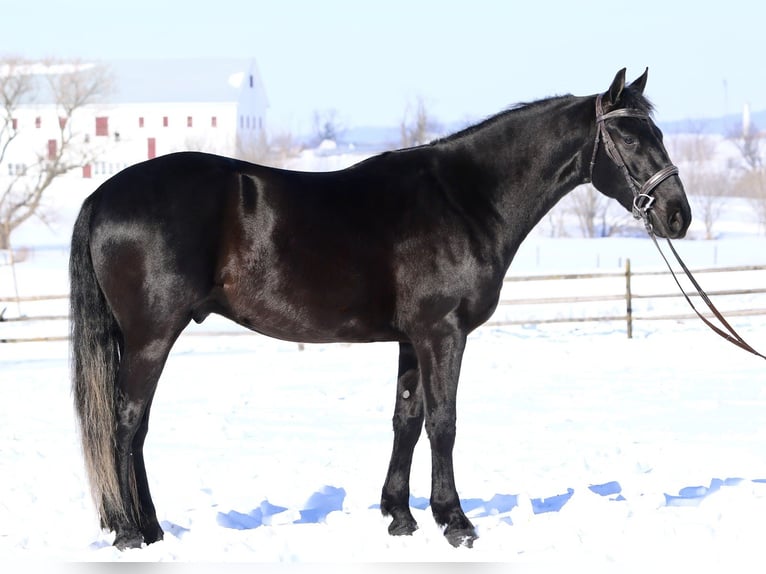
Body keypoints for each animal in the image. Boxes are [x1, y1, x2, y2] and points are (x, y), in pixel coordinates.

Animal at [69, 68, 691, 550]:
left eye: (658, 131)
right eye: (629, 138)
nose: (678, 215)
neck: (464, 199)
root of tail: (102, 195)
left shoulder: (411, 339)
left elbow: (406, 420)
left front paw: (400, 516)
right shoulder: (443, 333)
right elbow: (444, 421)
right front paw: (456, 522)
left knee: (135, 427)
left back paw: (149, 529)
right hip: (151, 335)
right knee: (126, 423)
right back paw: (130, 532)